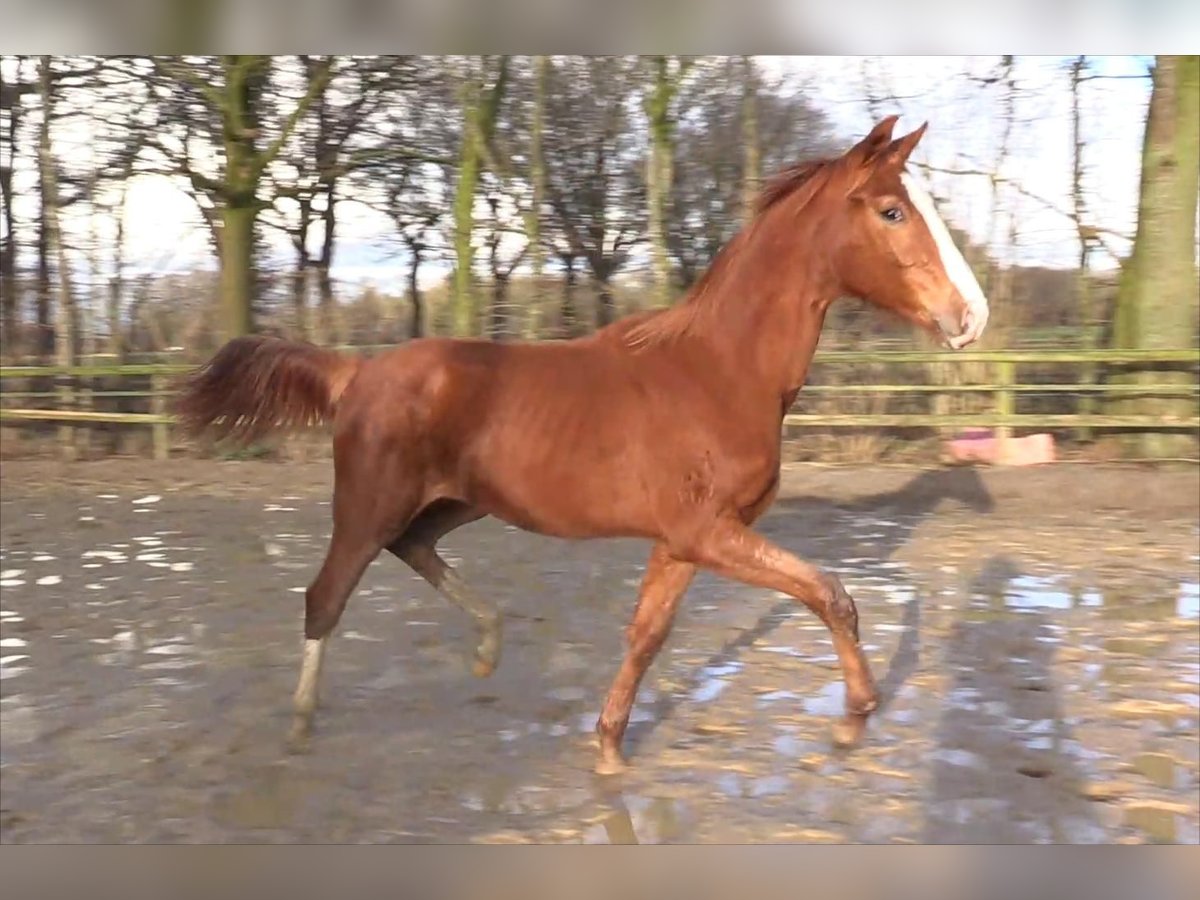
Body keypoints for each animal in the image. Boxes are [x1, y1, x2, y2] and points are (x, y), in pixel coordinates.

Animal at [175, 116, 984, 772]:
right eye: (892, 210)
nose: (970, 316)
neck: (719, 369)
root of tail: (357, 370)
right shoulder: (707, 532)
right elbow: (831, 594)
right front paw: (854, 719)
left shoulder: (685, 542)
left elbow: (647, 634)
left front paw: (608, 748)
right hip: (369, 504)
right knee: (326, 596)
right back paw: (303, 724)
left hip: (461, 501)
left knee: (415, 547)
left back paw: (489, 644)